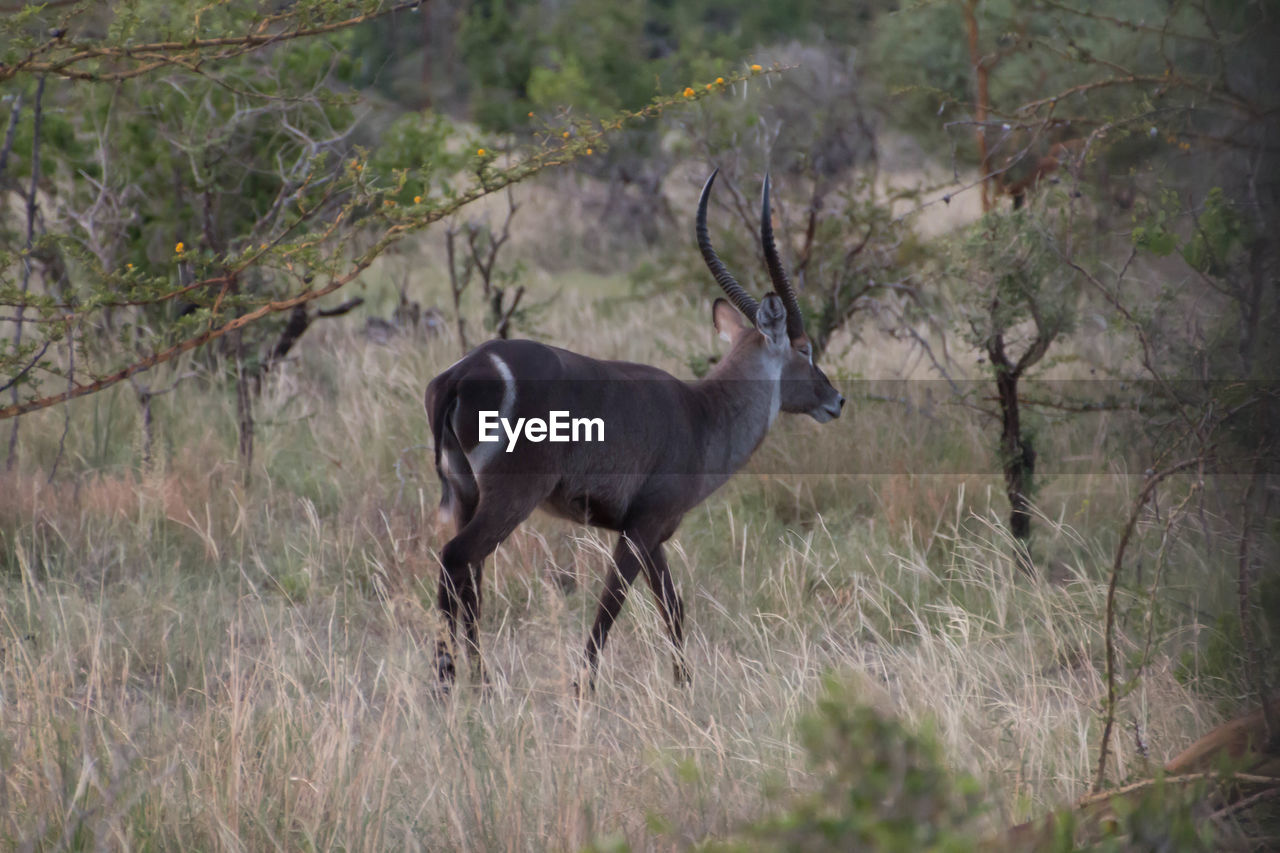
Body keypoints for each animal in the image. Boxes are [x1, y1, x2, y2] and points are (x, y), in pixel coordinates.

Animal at [424, 169, 844, 686]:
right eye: (804, 349)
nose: (836, 400)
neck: (704, 413)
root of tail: (465, 370)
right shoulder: (640, 528)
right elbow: (610, 607)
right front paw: (584, 688)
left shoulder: (653, 533)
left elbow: (673, 607)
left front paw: (684, 685)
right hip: (509, 498)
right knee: (456, 559)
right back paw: (451, 684)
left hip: (467, 495)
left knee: (470, 581)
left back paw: (478, 684)